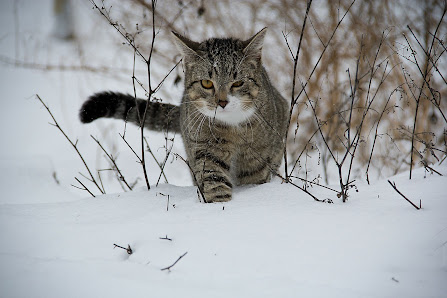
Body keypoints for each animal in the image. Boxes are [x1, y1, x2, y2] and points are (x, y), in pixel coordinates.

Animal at [79, 28, 290, 203]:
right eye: (206, 83)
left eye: (238, 83)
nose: (222, 102)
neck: (232, 127)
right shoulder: (205, 148)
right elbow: (214, 180)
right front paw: (219, 205)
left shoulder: (257, 158)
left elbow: (254, 179)